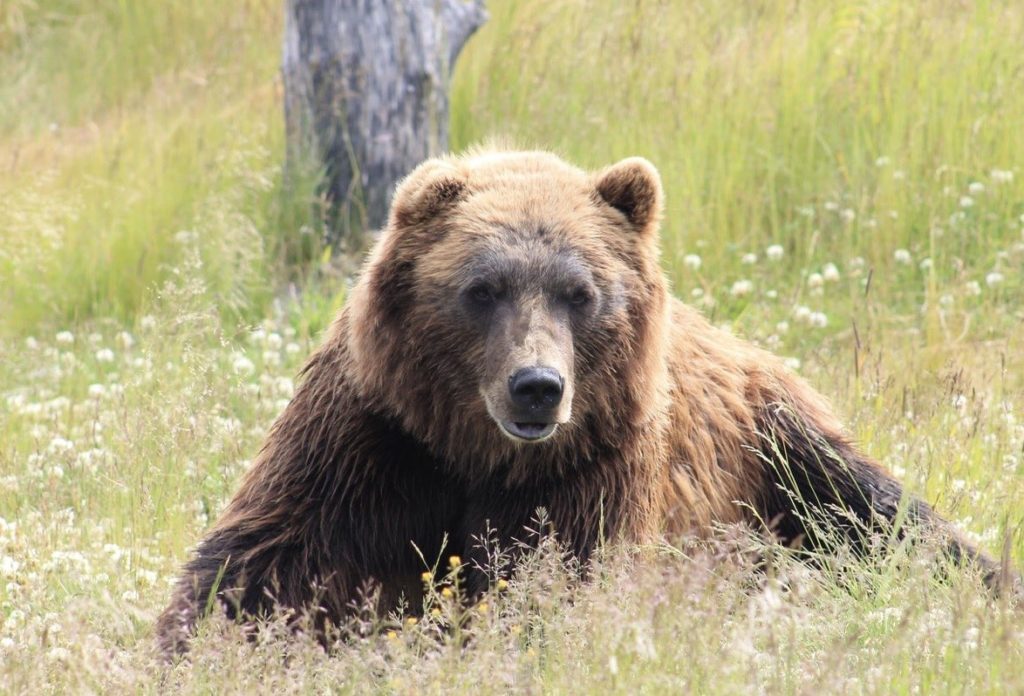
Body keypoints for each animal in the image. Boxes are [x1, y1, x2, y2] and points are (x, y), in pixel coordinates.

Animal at [157, 149, 1007, 655]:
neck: (477, 453)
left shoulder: (591, 466)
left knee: (886, 519)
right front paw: (196, 644)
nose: (537, 385)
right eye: (483, 288)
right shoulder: (375, 440)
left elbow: (556, 586)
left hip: (779, 448)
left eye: (580, 292)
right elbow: (265, 564)